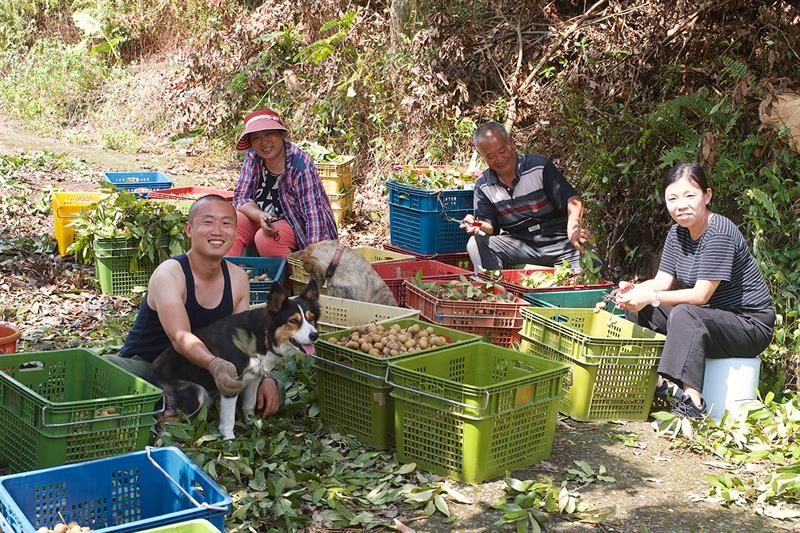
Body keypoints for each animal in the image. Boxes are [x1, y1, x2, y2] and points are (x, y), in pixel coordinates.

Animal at [152, 278, 318, 436]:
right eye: (293, 321)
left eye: (311, 318)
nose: (315, 335)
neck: (263, 336)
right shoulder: (230, 384)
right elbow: (228, 419)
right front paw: (229, 440)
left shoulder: (254, 378)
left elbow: (249, 405)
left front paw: (253, 425)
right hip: (195, 394)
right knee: (161, 421)